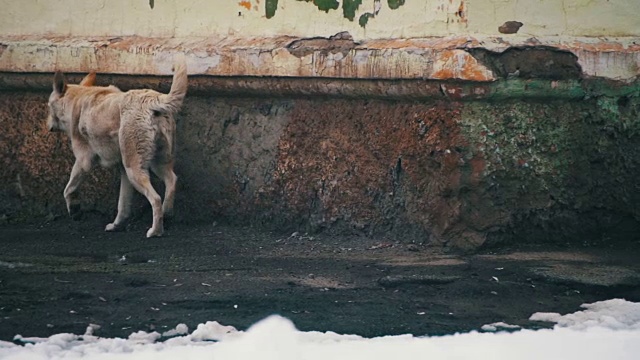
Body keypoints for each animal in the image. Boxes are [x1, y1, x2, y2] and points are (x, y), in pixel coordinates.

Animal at [46, 55, 188, 236]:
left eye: (48, 106)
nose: (47, 125)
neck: (78, 97)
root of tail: (151, 100)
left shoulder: (83, 161)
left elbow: (68, 189)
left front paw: (75, 210)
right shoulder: (123, 172)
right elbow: (123, 204)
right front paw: (117, 225)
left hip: (135, 170)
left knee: (155, 199)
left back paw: (155, 231)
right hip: (154, 164)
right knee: (171, 181)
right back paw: (167, 214)